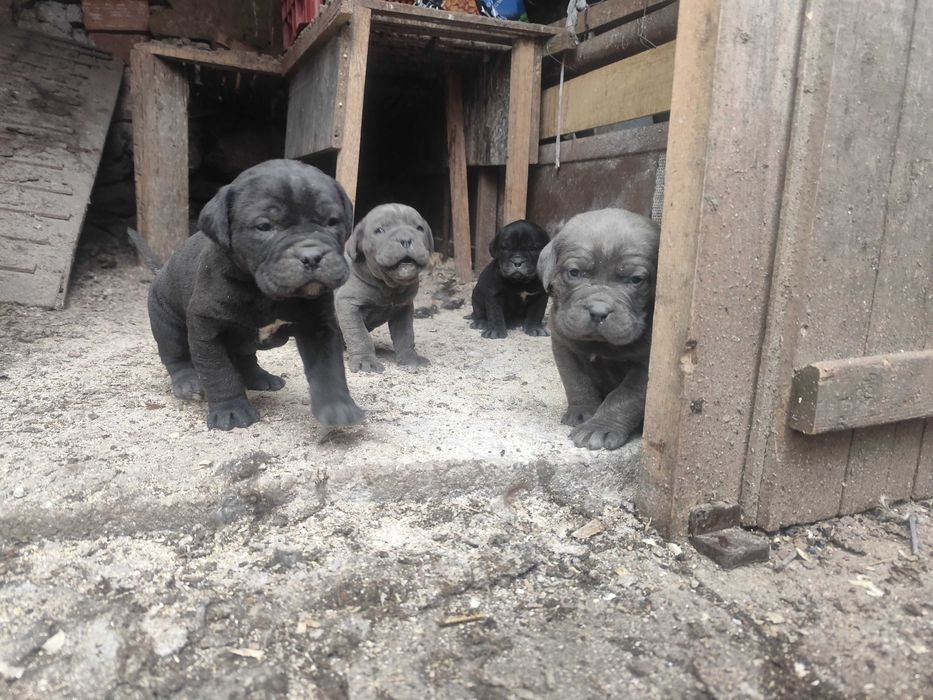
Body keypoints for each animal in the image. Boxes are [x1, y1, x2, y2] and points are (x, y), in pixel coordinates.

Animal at [147, 159, 364, 431]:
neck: (265, 294)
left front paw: (337, 407)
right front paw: (231, 410)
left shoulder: (319, 326)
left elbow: (328, 368)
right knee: (176, 354)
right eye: (264, 227)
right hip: (166, 318)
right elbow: (218, 372)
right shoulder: (207, 328)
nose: (312, 256)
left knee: (245, 357)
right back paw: (188, 382)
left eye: (332, 221)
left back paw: (261, 378)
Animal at [334, 203, 433, 373]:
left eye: (419, 228)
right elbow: (358, 334)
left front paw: (410, 358)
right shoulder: (348, 303)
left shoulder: (404, 308)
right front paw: (365, 361)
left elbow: (406, 335)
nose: (406, 239)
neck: (389, 286)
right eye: (380, 230)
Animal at [537, 208, 660, 450]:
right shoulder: (563, 344)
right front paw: (582, 413)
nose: (598, 311)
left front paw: (599, 428)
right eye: (574, 273)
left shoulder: (647, 365)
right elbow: (576, 381)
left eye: (636, 280)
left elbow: (625, 396)